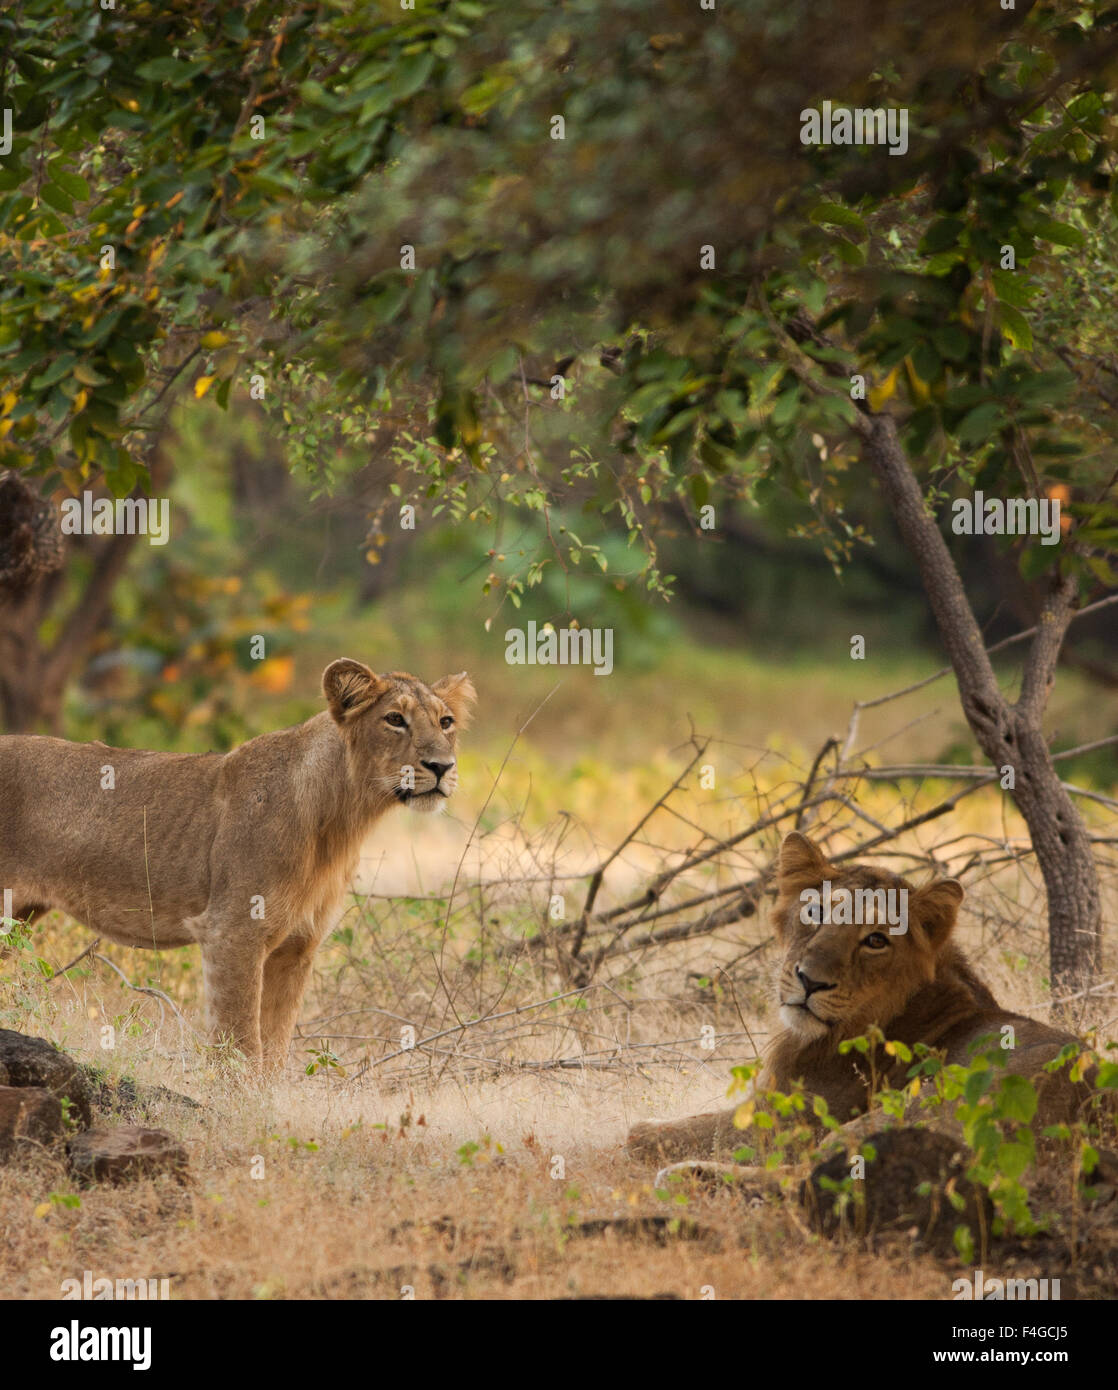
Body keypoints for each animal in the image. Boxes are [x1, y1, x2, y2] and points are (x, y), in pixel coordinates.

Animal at [0, 661, 472, 1073]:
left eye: (445, 722)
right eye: (394, 719)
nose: (442, 766)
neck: (340, 820)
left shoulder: (297, 947)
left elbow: (274, 1048)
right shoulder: (232, 932)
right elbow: (241, 1046)